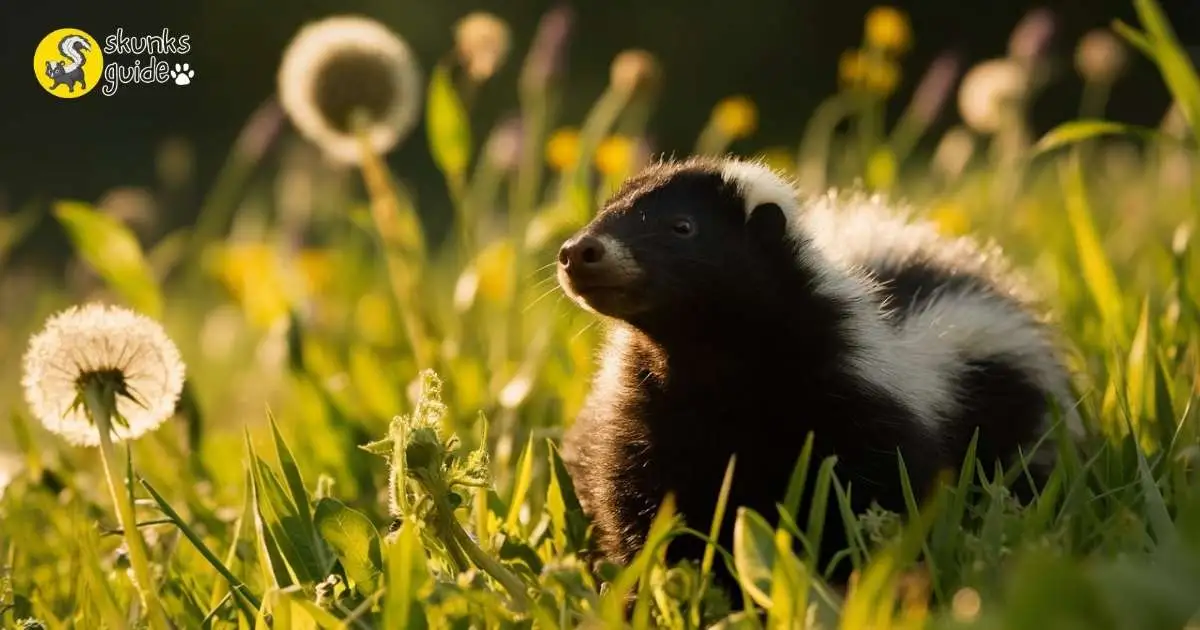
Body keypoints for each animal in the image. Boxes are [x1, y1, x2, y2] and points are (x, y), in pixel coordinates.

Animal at [556, 154, 1084, 588]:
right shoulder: (644, 414)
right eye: (604, 214)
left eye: (682, 227)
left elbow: (876, 493)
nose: (580, 251)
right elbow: (638, 498)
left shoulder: (856, 399)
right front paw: (659, 581)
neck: (711, 361)